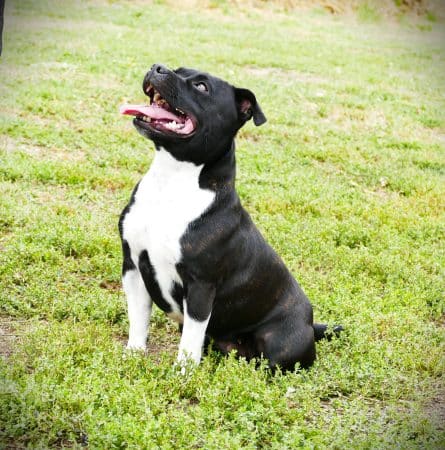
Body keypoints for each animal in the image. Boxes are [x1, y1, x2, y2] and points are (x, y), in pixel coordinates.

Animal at [118, 64, 340, 372]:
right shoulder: (133, 266)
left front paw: (183, 373)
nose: (157, 67)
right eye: (177, 69)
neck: (172, 180)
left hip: (281, 341)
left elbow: (190, 339)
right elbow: (138, 318)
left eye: (202, 87)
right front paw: (133, 354)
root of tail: (311, 324)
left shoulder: (201, 286)